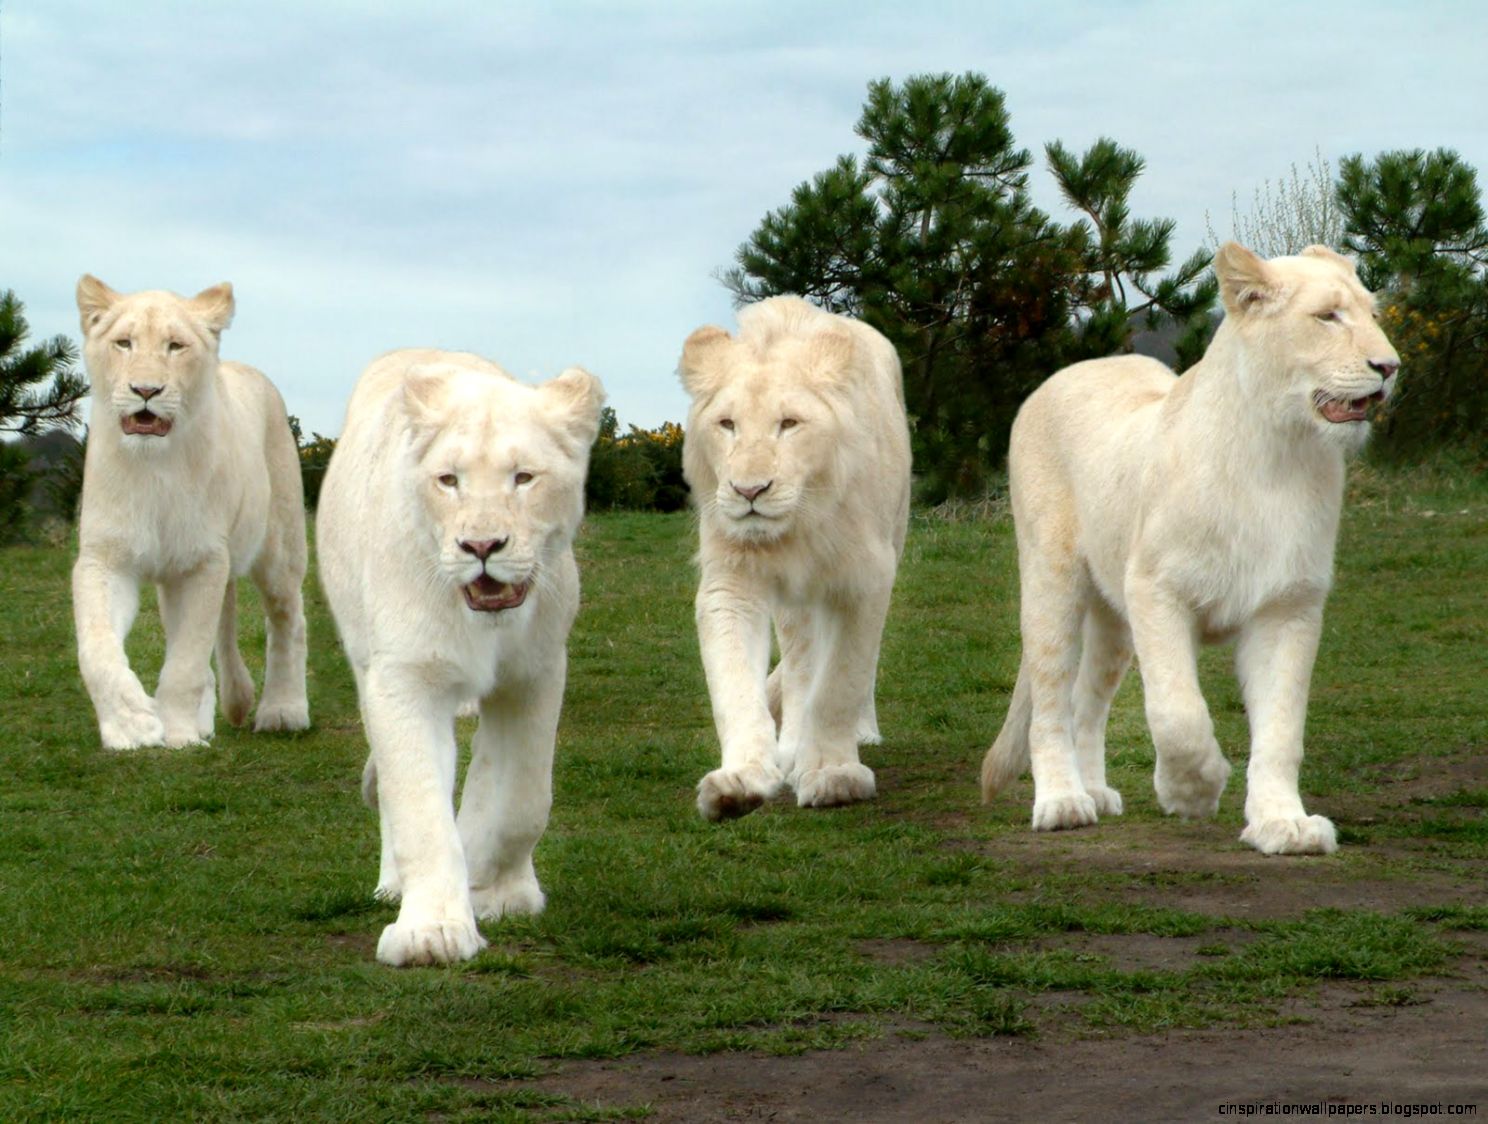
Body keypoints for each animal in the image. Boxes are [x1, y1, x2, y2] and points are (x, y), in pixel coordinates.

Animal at [71, 276, 309, 749]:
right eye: (124, 343)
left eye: (175, 346)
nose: (146, 391)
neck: (153, 466)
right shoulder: (105, 558)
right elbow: (97, 647)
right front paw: (132, 724)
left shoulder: (202, 561)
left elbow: (186, 661)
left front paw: (178, 733)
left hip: (279, 551)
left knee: (288, 620)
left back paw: (283, 710)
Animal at [317, 349, 604, 966]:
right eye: (449, 481)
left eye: (524, 477)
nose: (481, 547)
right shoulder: (404, 677)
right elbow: (419, 808)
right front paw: (433, 932)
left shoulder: (535, 673)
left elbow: (522, 800)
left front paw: (493, 883)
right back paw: (393, 882)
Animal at [678, 296, 912, 821]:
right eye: (727, 424)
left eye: (789, 424)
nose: (749, 491)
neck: (801, 524)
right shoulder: (732, 582)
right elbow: (736, 688)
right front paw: (740, 781)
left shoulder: (865, 579)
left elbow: (841, 680)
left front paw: (834, 773)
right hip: (795, 602)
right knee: (801, 658)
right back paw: (789, 748)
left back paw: (860, 733)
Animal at [980, 243, 1401, 855]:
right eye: (1327, 317)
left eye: (1372, 314)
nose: (1390, 367)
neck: (1278, 455)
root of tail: (1072, 371)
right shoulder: (1156, 589)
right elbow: (1177, 711)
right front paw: (1192, 791)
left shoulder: (1289, 606)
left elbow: (1282, 729)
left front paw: (1283, 824)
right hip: (1051, 582)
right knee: (1052, 697)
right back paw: (1063, 802)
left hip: (1113, 619)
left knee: (1087, 700)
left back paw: (1096, 791)